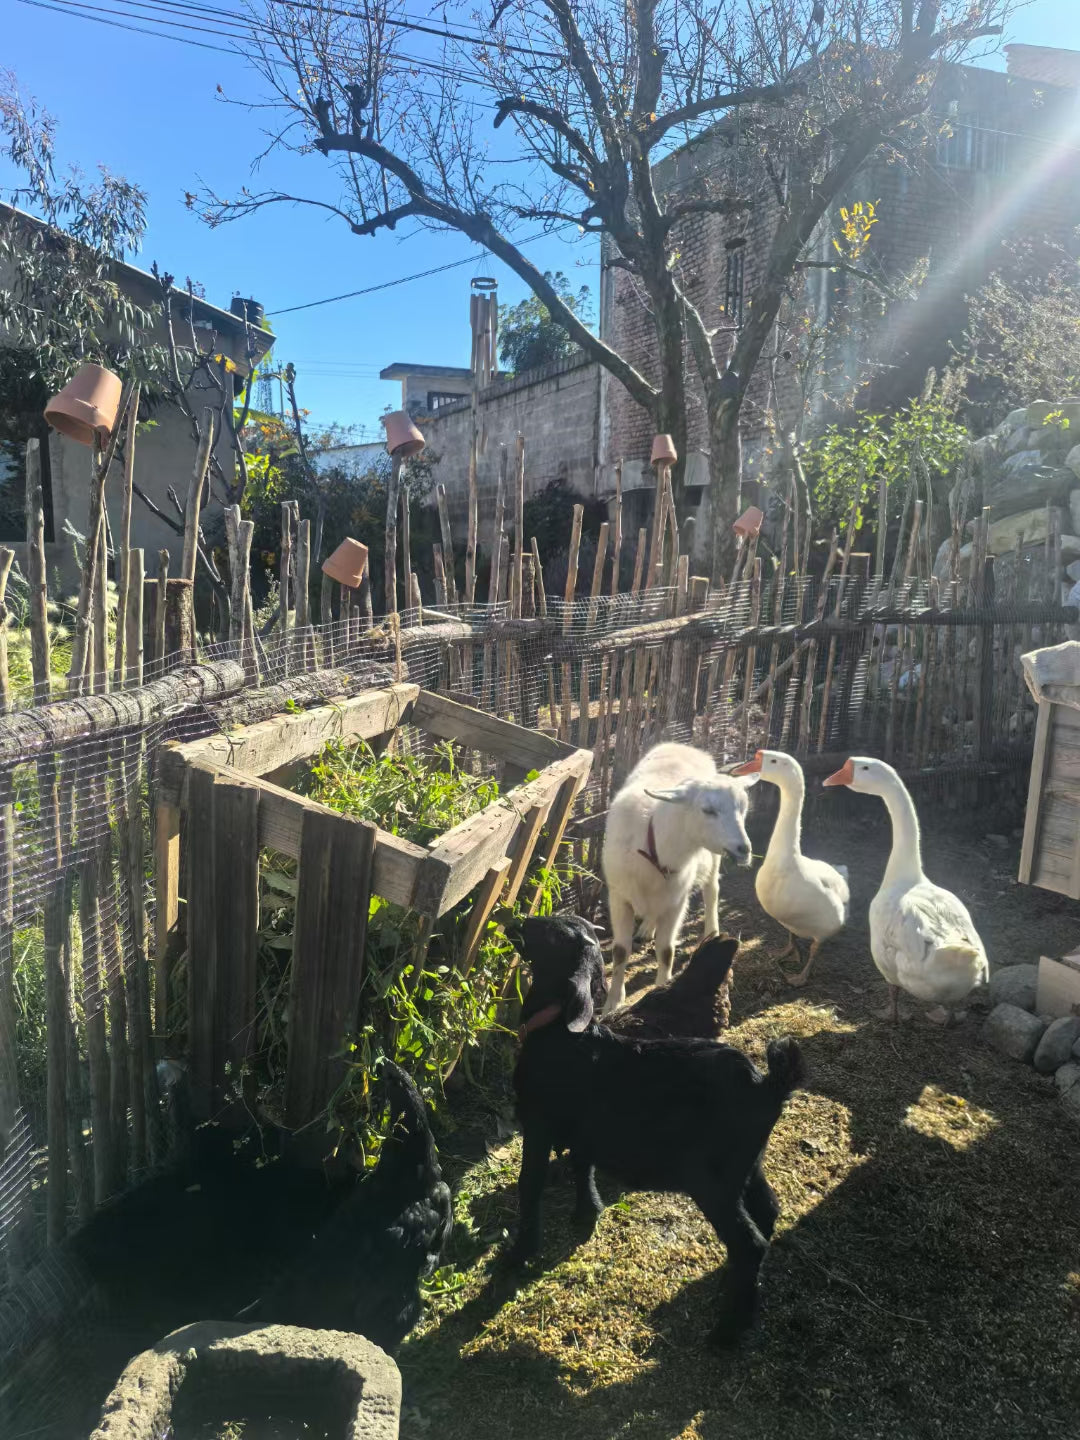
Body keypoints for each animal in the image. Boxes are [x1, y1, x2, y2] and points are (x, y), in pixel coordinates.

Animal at [512, 915, 806, 1342]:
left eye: (551, 934)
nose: (515, 922)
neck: (561, 1036)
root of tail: (769, 1085)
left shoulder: (537, 1127)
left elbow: (530, 1186)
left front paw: (519, 1254)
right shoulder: (587, 1129)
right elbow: (582, 1166)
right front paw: (587, 1214)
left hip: (711, 1179)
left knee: (750, 1243)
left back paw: (729, 1331)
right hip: (747, 1164)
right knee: (767, 1212)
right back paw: (732, 1288)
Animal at [601, 743, 760, 1013]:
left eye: (744, 808)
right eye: (707, 810)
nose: (744, 849)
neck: (654, 847)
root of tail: (684, 745)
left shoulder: (677, 902)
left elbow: (666, 951)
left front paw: (661, 988)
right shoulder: (619, 896)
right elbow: (620, 951)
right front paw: (612, 1002)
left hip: (711, 859)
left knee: (712, 892)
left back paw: (711, 930)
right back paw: (647, 928)